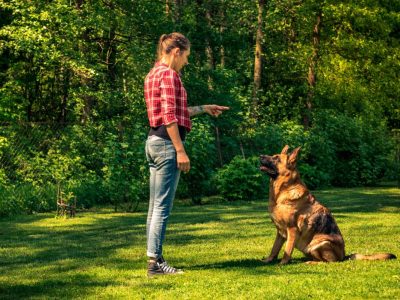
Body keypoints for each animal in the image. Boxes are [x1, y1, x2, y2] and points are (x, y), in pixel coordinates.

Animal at [260, 146, 394, 264]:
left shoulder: (292, 230)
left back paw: (311, 262)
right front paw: (268, 260)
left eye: (276, 158)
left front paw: (282, 263)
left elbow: (287, 250)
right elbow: (274, 249)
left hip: (319, 243)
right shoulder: (280, 232)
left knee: (328, 262)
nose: (260, 156)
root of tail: (344, 256)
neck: (281, 193)